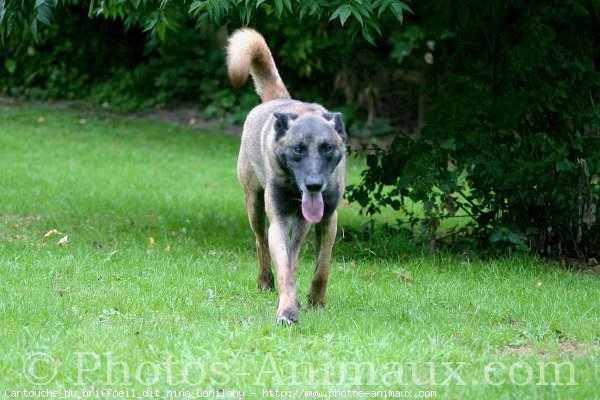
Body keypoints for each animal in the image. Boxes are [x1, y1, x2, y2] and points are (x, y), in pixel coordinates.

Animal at [225, 28, 346, 324]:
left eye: (327, 148)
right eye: (297, 149)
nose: (314, 185)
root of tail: (276, 99)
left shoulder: (328, 218)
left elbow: (322, 266)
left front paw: (316, 301)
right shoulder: (278, 221)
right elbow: (285, 270)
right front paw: (287, 309)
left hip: (300, 223)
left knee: (295, 249)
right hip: (255, 205)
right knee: (261, 242)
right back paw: (265, 280)